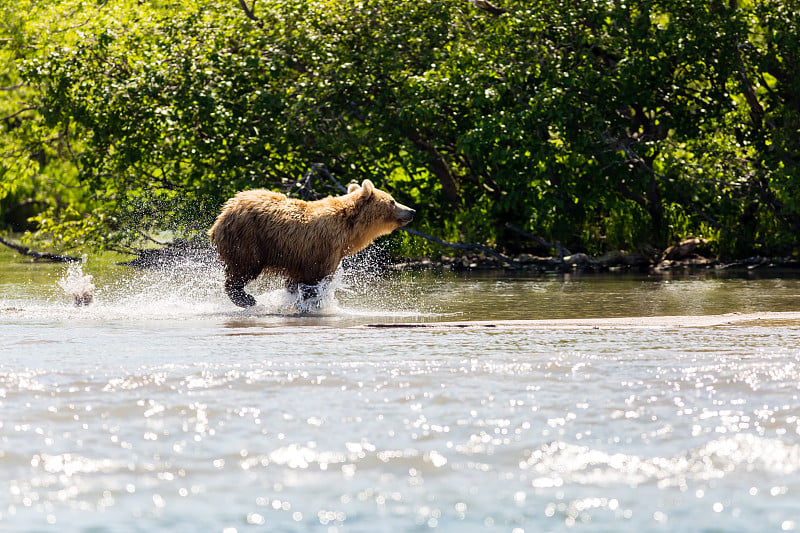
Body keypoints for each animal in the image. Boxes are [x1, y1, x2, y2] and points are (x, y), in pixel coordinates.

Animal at [209, 179, 416, 306]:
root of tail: (224, 212)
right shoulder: (322, 249)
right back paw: (247, 299)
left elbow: (294, 283)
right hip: (248, 239)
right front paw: (315, 304)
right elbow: (315, 281)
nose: (411, 211)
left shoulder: (301, 258)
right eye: (392, 201)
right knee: (243, 269)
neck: (349, 232)